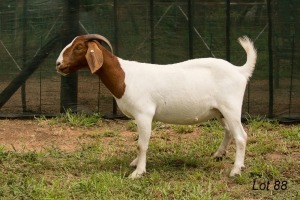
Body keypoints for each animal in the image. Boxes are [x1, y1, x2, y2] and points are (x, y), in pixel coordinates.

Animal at [56, 34, 258, 178]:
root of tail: (240, 71)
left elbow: (142, 144)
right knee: (228, 131)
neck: (125, 76)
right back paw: (218, 155)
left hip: (231, 107)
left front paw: (138, 172)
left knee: (241, 136)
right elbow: (139, 141)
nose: (58, 64)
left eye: (79, 47)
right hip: (219, 110)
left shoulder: (144, 113)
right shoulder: (140, 117)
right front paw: (135, 163)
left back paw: (235, 170)